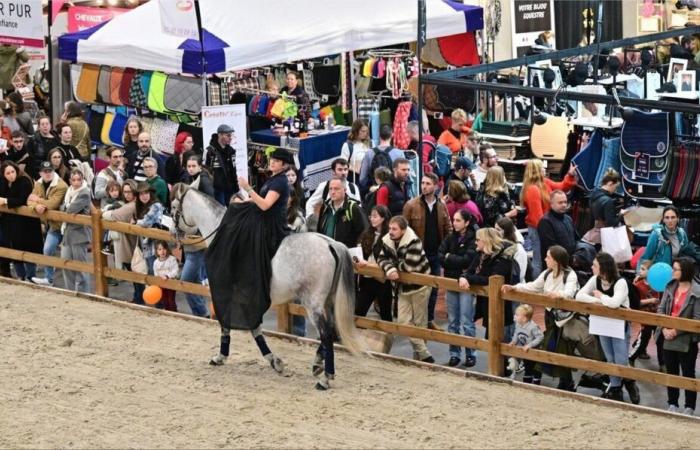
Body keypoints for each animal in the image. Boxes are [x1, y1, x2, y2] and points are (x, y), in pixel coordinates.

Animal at [171, 184, 360, 390]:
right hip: (328, 301)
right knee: (332, 330)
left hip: (313, 304)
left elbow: (233, 325)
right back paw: (318, 364)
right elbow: (254, 328)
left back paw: (325, 379)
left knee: (326, 334)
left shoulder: (227, 292)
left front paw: (222, 357)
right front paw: (275, 362)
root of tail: (330, 244)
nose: (173, 233)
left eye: (173, 207)